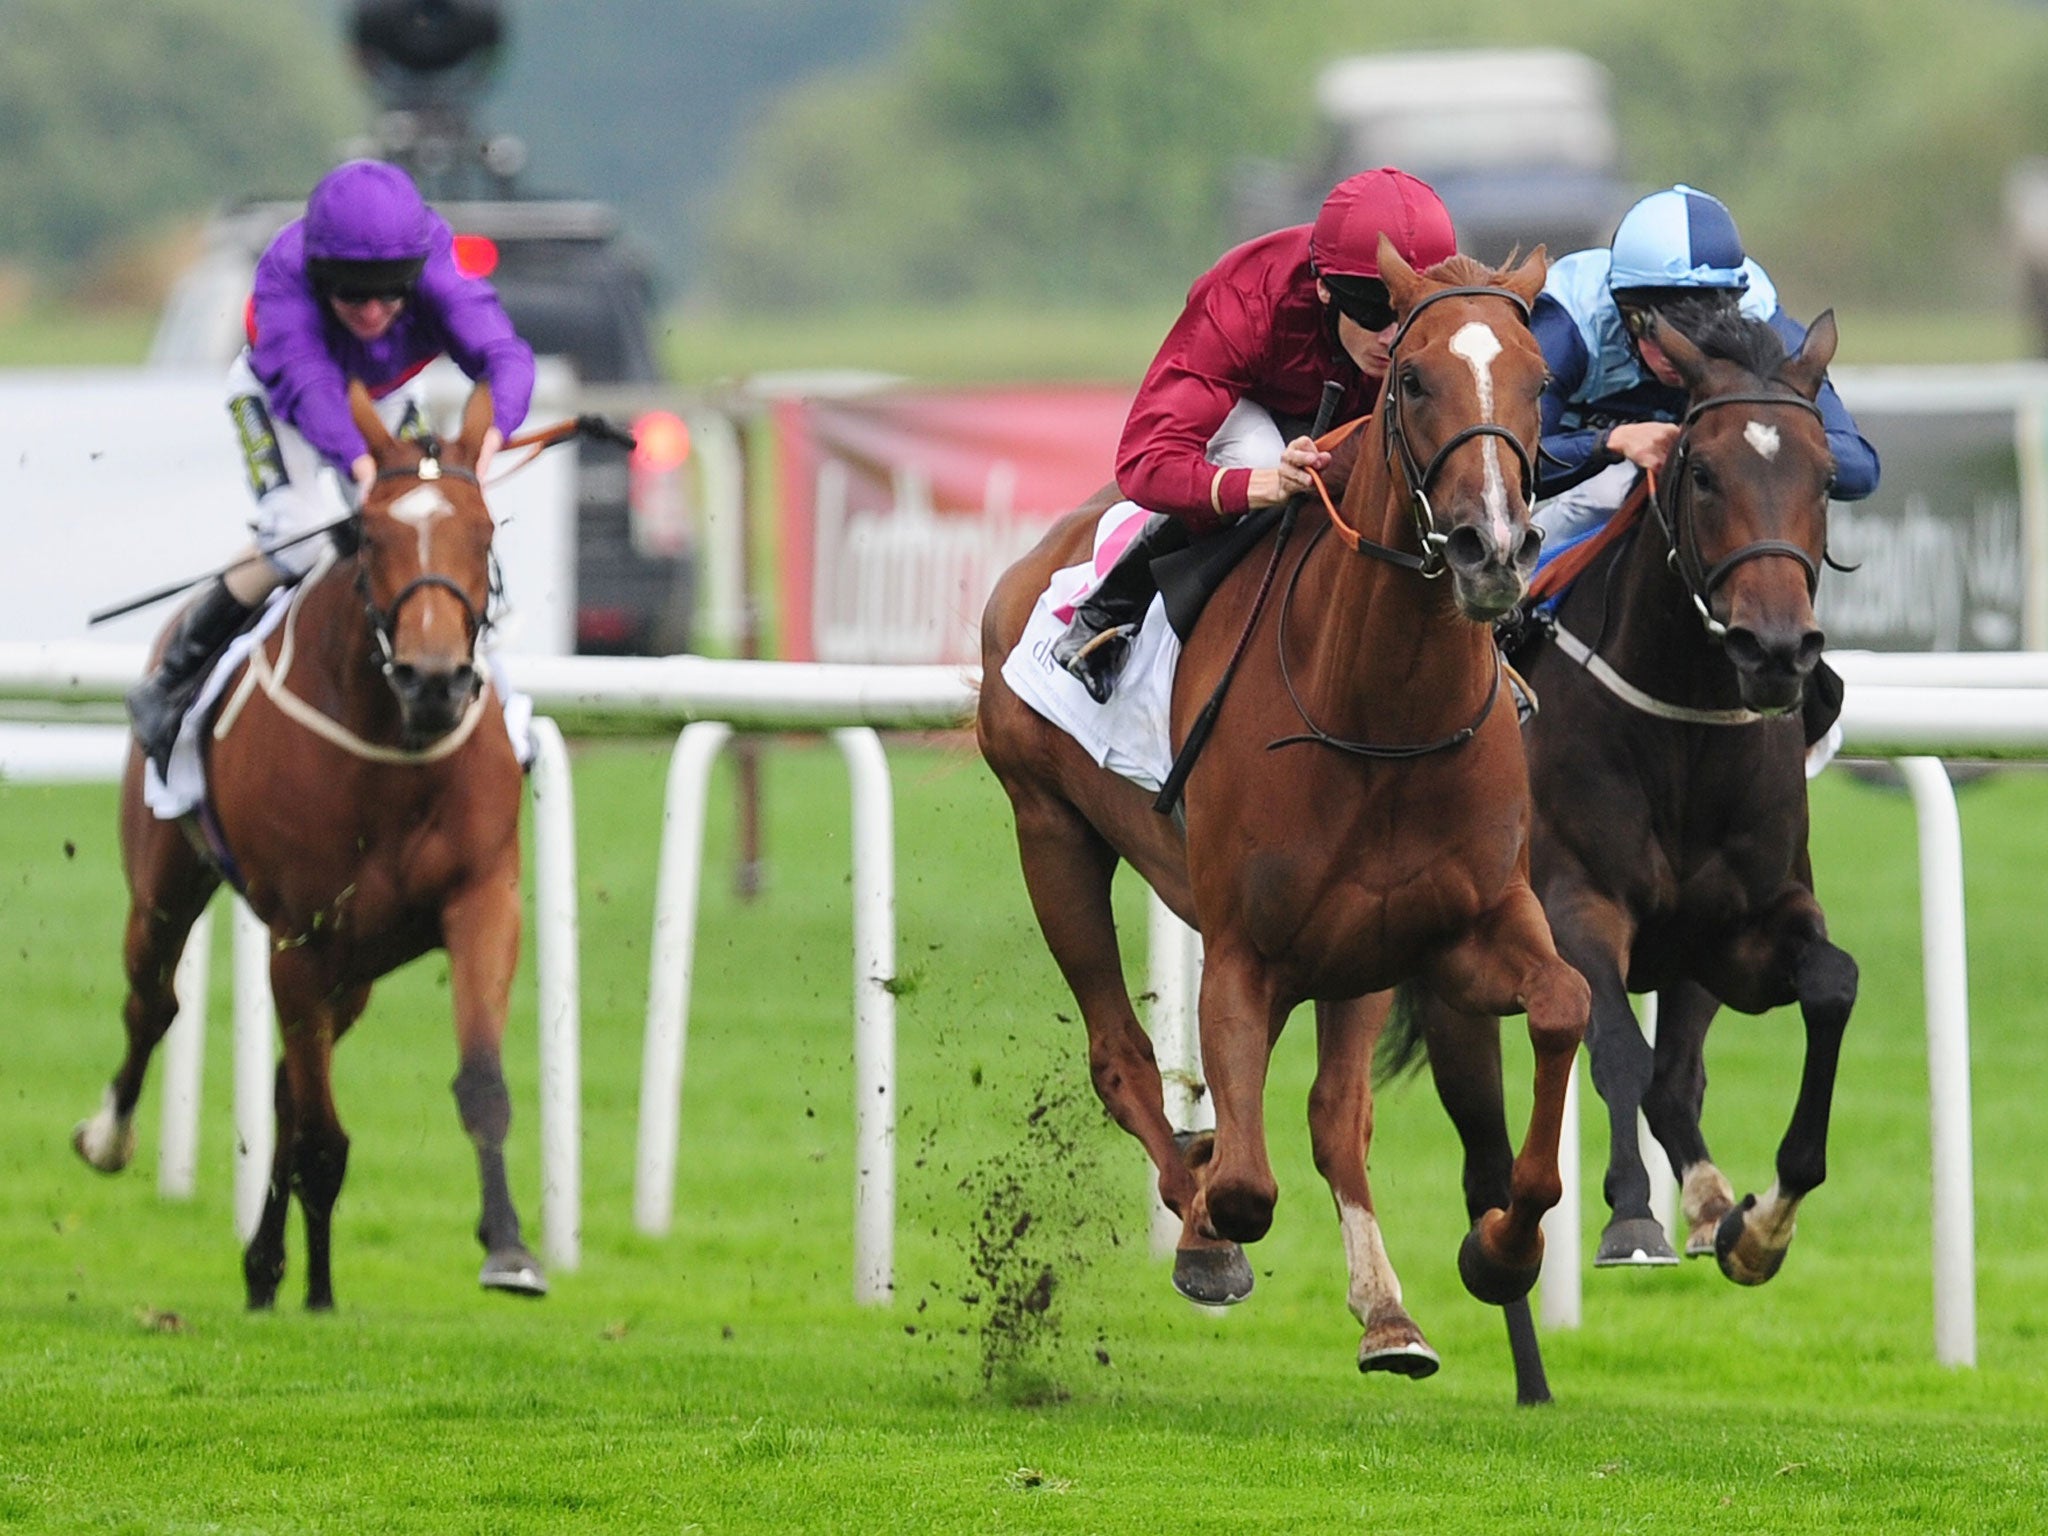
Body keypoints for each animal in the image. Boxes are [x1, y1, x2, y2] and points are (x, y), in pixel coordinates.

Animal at [76, 382, 548, 1310]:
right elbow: (321, 1137)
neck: (394, 750)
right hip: (168, 891)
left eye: (485, 532)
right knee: (155, 1005)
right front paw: (318, 1291)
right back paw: (112, 1139)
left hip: (353, 970)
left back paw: (273, 1267)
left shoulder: (482, 901)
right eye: (371, 536)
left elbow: (479, 1084)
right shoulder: (299, 935)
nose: (434, 681)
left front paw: (508, 1249)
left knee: (285, 1091)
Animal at [974, 243, 1581, 1409]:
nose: (1489, 548)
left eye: (1540, 382)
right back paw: (1200, 1215)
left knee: (1336, 1118)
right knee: (1121, 1059)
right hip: (1048, 832)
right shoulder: (1243, 953)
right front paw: (1210, 1212)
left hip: (1352, 959)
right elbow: (1247, 1185)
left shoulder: (1456, 927)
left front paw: (1497, 1249)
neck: (1379, 711)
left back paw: (1386, 1312)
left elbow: (1562, 1004)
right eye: (1412, 380)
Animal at [1409, 301, 1859, 1286]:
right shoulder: (1575, 905)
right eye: (1703, 473)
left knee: (1679, 1073)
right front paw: (1629, 1217)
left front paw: (1765, 1222)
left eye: (1826, 474)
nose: (1776, 650)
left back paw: (1716, 1207)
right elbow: (1616, 1049)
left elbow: (1831, 986)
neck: (1684, 729)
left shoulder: (1747, 928)